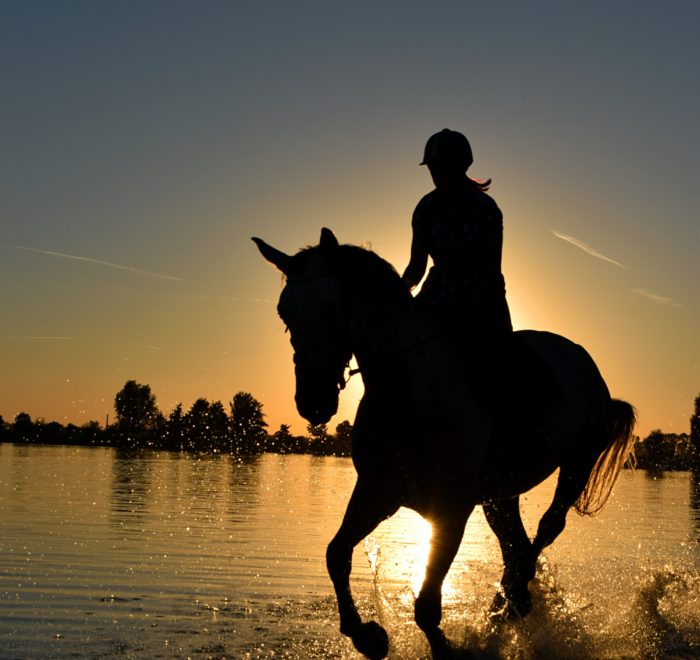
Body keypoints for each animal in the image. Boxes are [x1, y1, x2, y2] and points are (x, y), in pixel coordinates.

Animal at [254, 228, 636, 660]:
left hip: (577, 464)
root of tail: (582, 360)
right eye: (285, 314)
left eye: (331, 310)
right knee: (515, 543)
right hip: (500, 495)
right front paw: (368, 636)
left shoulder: (451, 508)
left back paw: (514, 598)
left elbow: (425, 605)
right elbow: (336, 555)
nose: (312, 402)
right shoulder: (378, 492)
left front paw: (446, 648)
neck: (409, 391)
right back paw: (509, 603)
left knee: (546, 528)